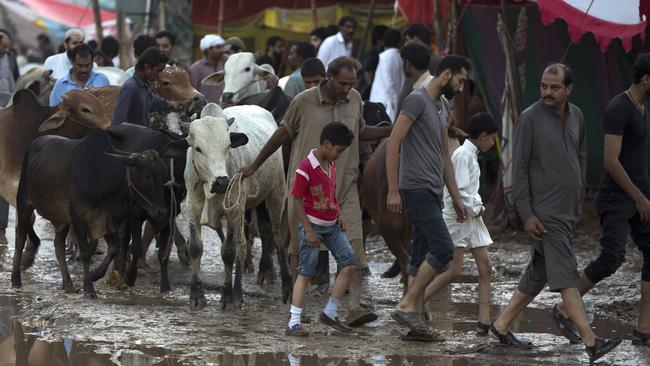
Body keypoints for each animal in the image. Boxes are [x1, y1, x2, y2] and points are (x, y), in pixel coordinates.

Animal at [182, 103, 284, 308]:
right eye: (198, 148)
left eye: (228, 146)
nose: (221, 181)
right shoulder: (193, 205)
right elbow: (195, 247)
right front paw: (196, 294)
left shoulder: (233, 210)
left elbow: (229, 251)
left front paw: (228, 295)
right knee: (258, 234)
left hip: (275, 194)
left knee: (267, 235)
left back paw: (264, 276)